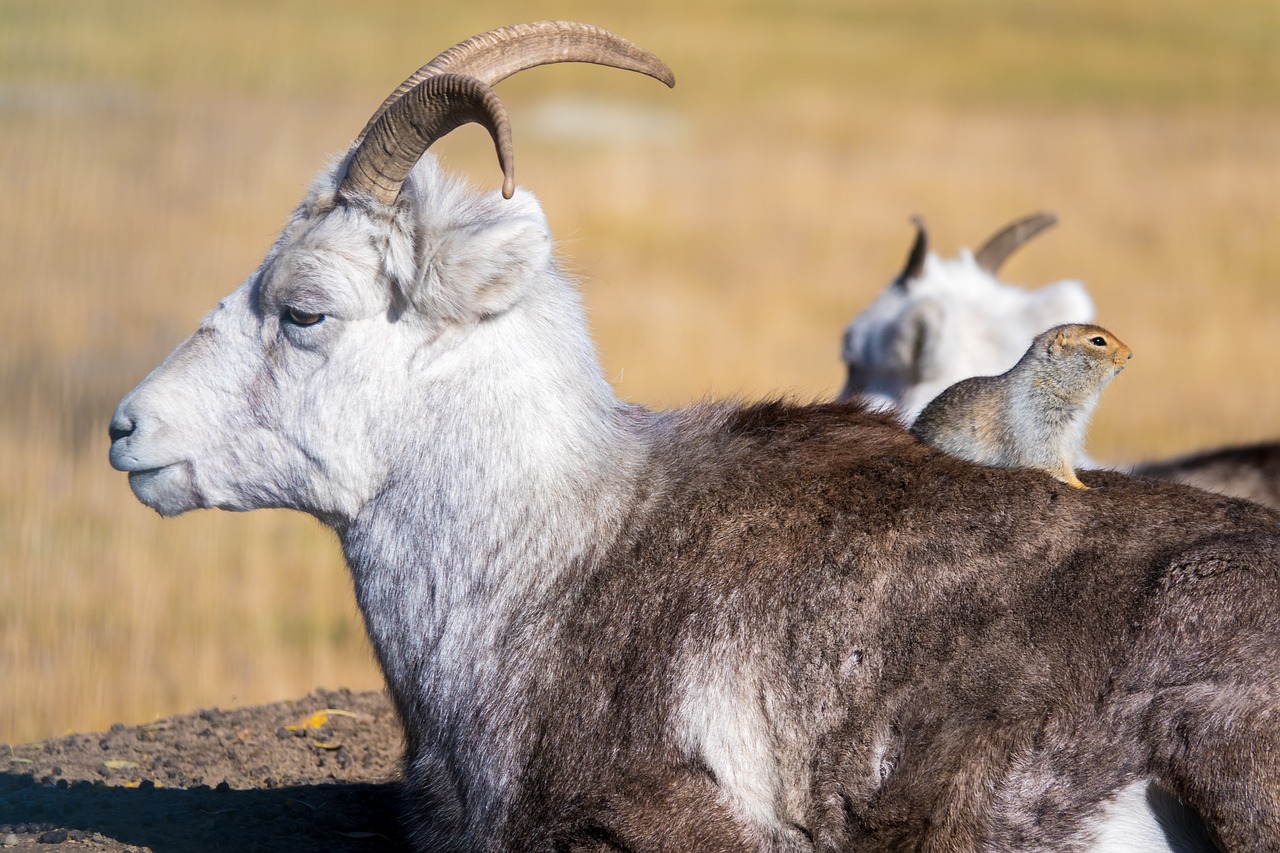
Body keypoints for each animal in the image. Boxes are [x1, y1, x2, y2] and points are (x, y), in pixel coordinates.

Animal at [911, 324, 1131, 489]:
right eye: (1098, 341)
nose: (1130, 354)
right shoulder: (1036, 423)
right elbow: (1047, 458)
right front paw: (1083, 486)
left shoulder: (1071, 435)